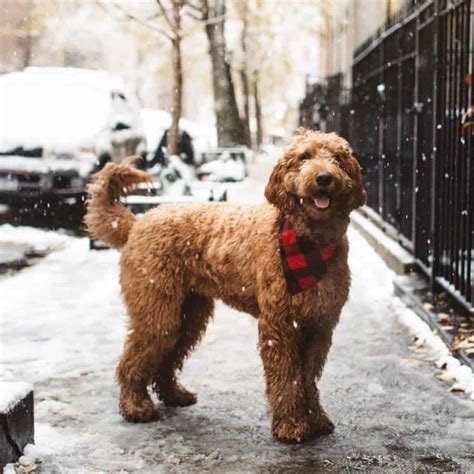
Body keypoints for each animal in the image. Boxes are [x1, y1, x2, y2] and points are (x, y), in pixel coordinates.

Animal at [85, 128, 366, 442]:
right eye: (304, 157)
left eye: (337, 158)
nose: (324, 178)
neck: (309, 243)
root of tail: (138, 222)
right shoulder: (278, 327)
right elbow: (286, 378)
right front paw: (291, 425)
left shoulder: (319, 327)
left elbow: (306, 379)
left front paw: (315, 419)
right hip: (157, 312)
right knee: (132, 360)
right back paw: (135, 407)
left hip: (189, 315)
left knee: (167, 359)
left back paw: (174, 395)